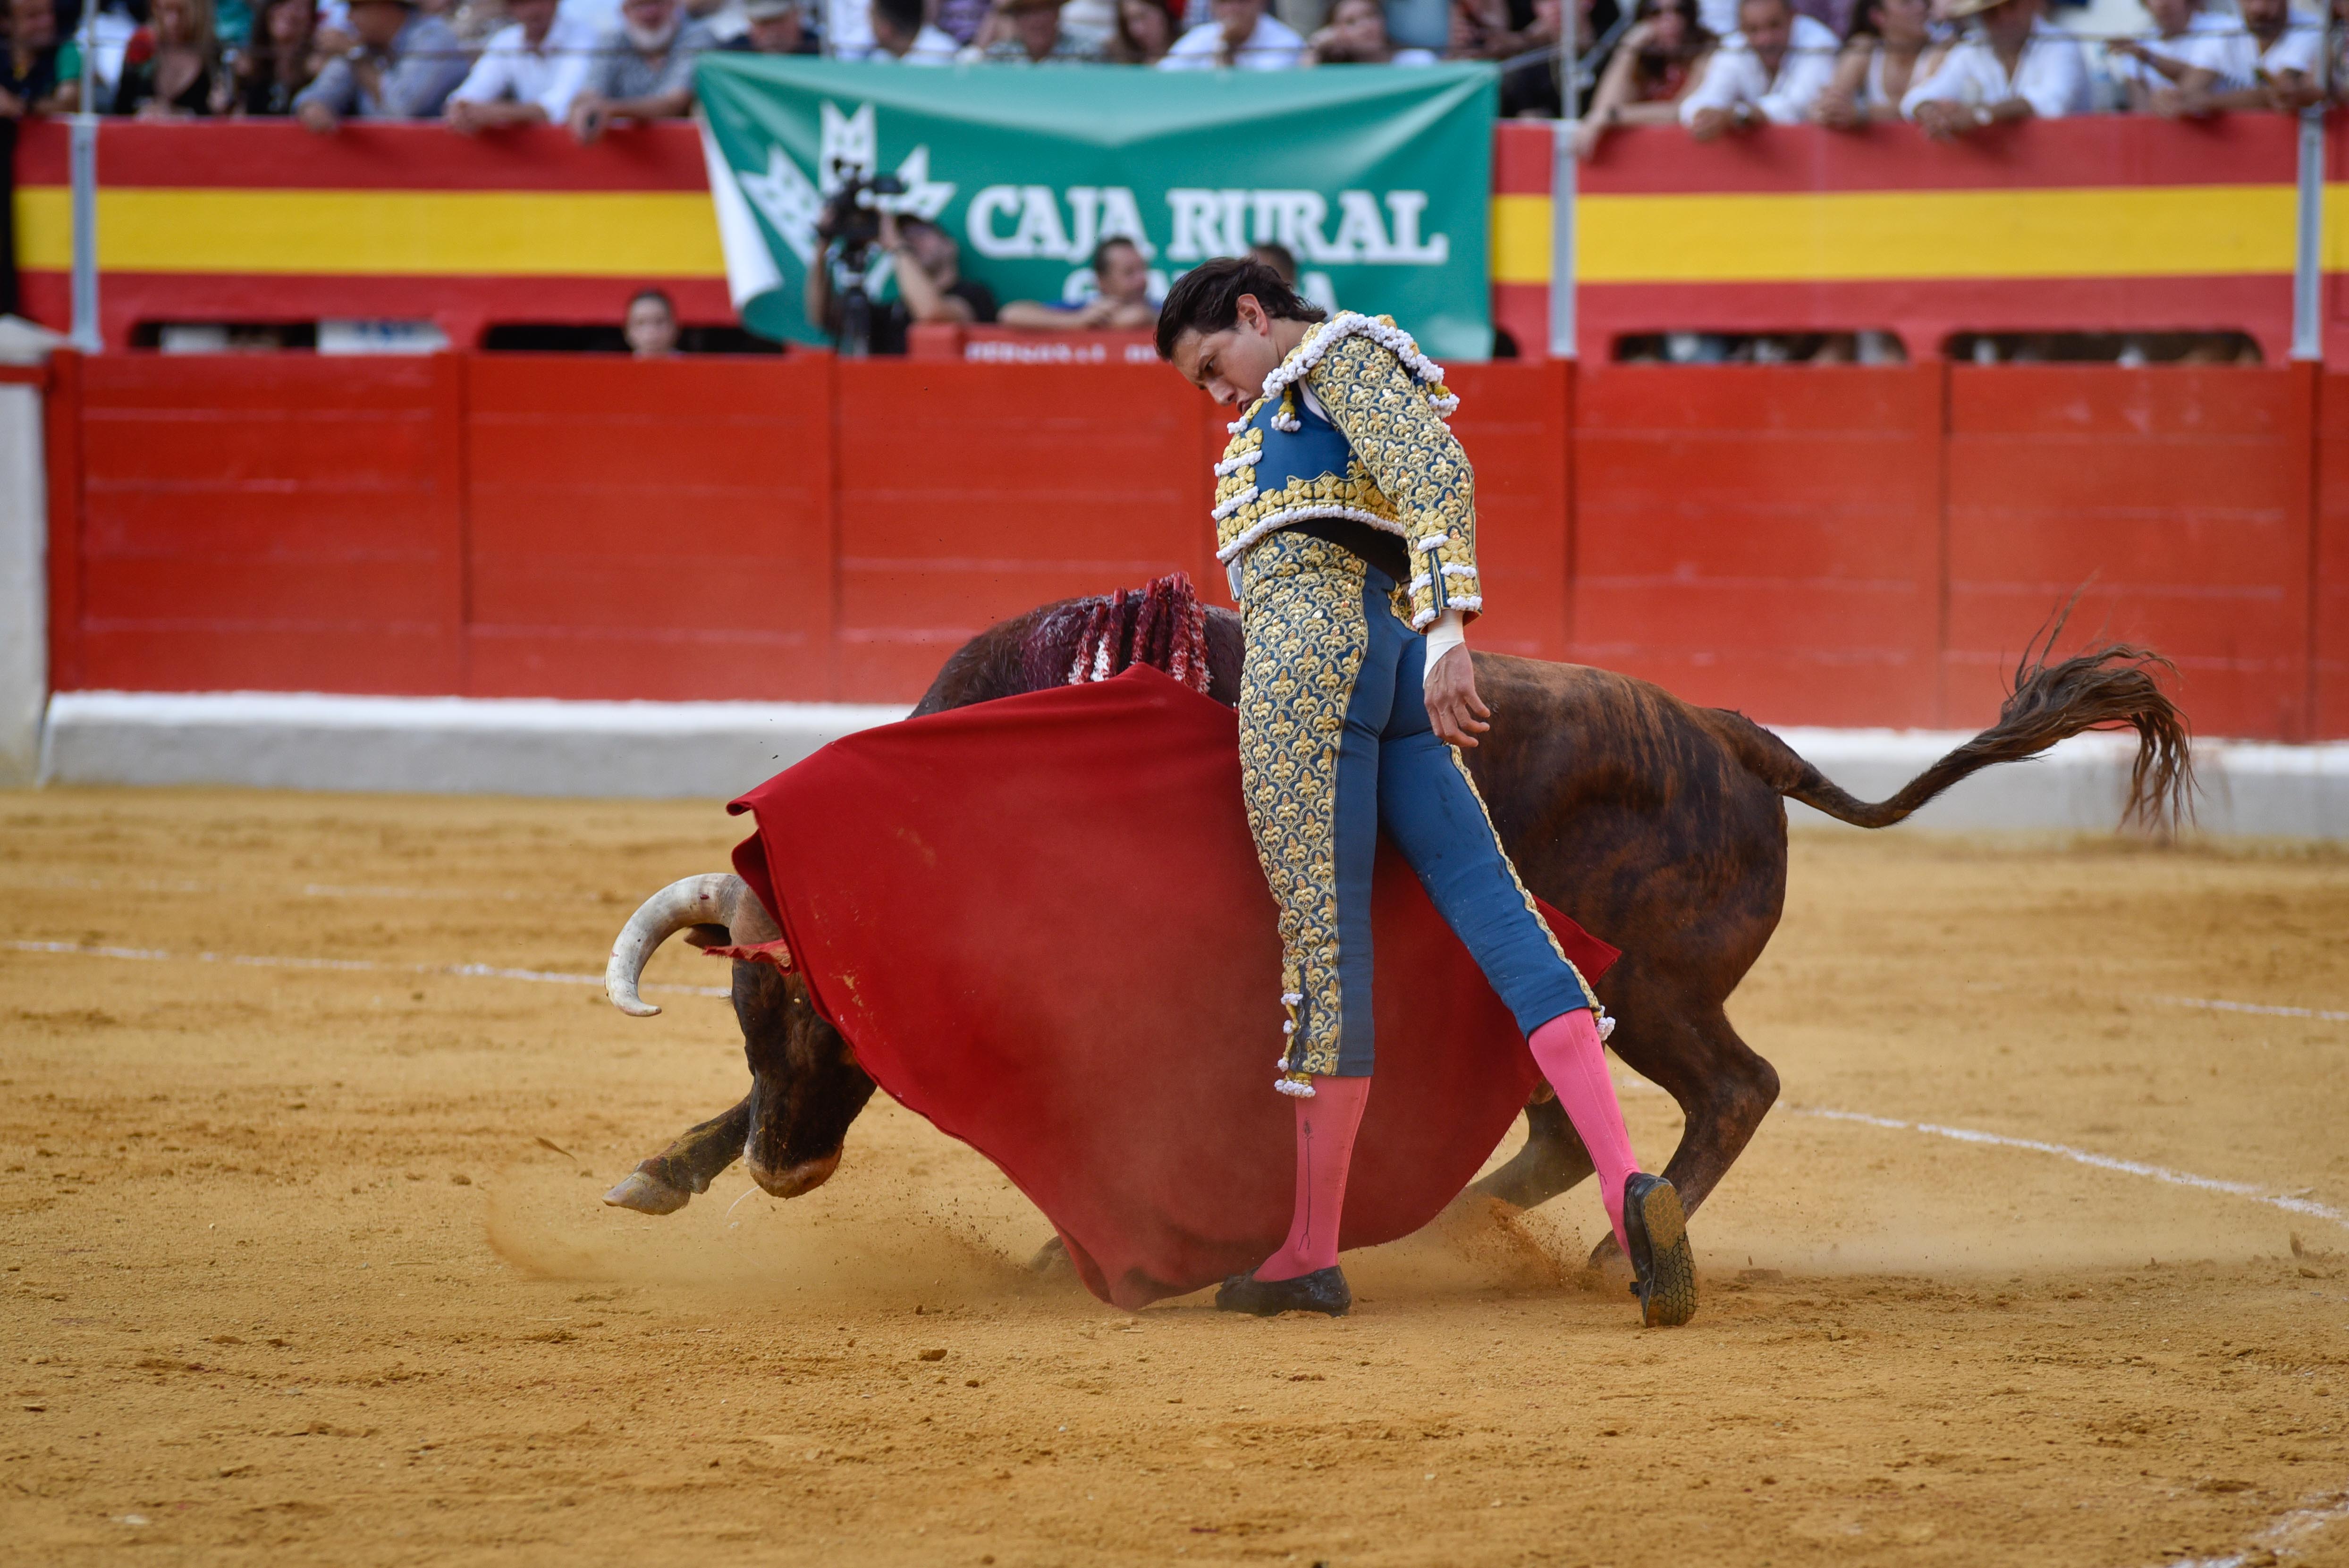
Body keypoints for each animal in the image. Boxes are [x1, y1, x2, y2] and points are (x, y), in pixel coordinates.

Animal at [587, 596, 2180, 1258]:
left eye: (835, 1012)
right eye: (747, 1008)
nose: (788, 1170)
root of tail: (1728, 734)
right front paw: (659, 1171)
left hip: (1662, 987)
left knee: (1733, 1088)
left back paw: (1614, 1246)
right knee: (1558, 1124)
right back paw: (1479, 1226)